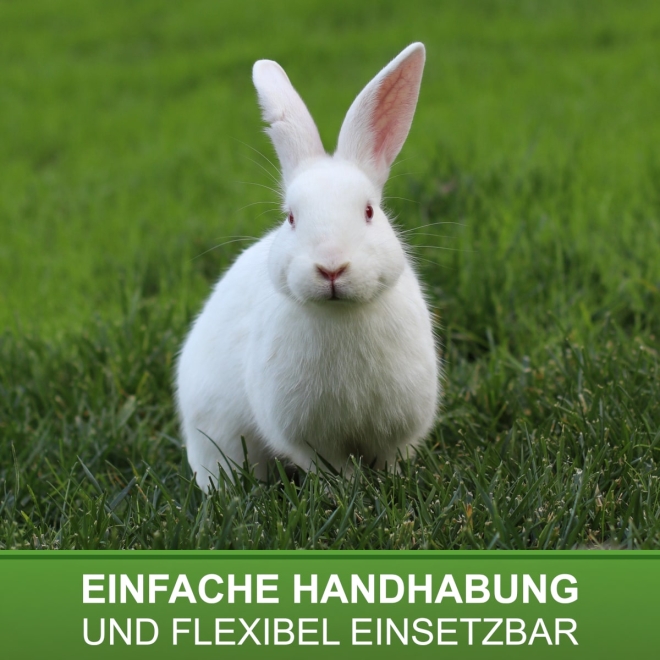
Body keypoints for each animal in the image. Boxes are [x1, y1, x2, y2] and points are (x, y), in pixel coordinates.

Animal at [176, 42, 440, 491]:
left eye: (369, 211)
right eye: (291, 218)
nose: (331, 268)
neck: (340, 315)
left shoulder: (398, 427)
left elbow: (391, 458)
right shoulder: (305, 435)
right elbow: (331, 467)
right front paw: (348, 490)